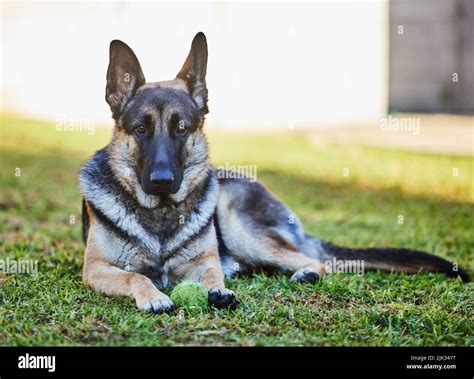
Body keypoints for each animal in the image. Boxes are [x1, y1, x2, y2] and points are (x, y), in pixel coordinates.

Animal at [79, 32, 468, 314]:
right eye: (141, 129)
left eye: (181, 128)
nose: (162, 180)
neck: (160, 214)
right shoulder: (95, 270)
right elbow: (135, 277)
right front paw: (154, 295)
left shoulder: (204, 262)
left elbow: (211, 272)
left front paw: (218, 290)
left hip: (240, 226)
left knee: (314, 261)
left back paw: (304, 271)